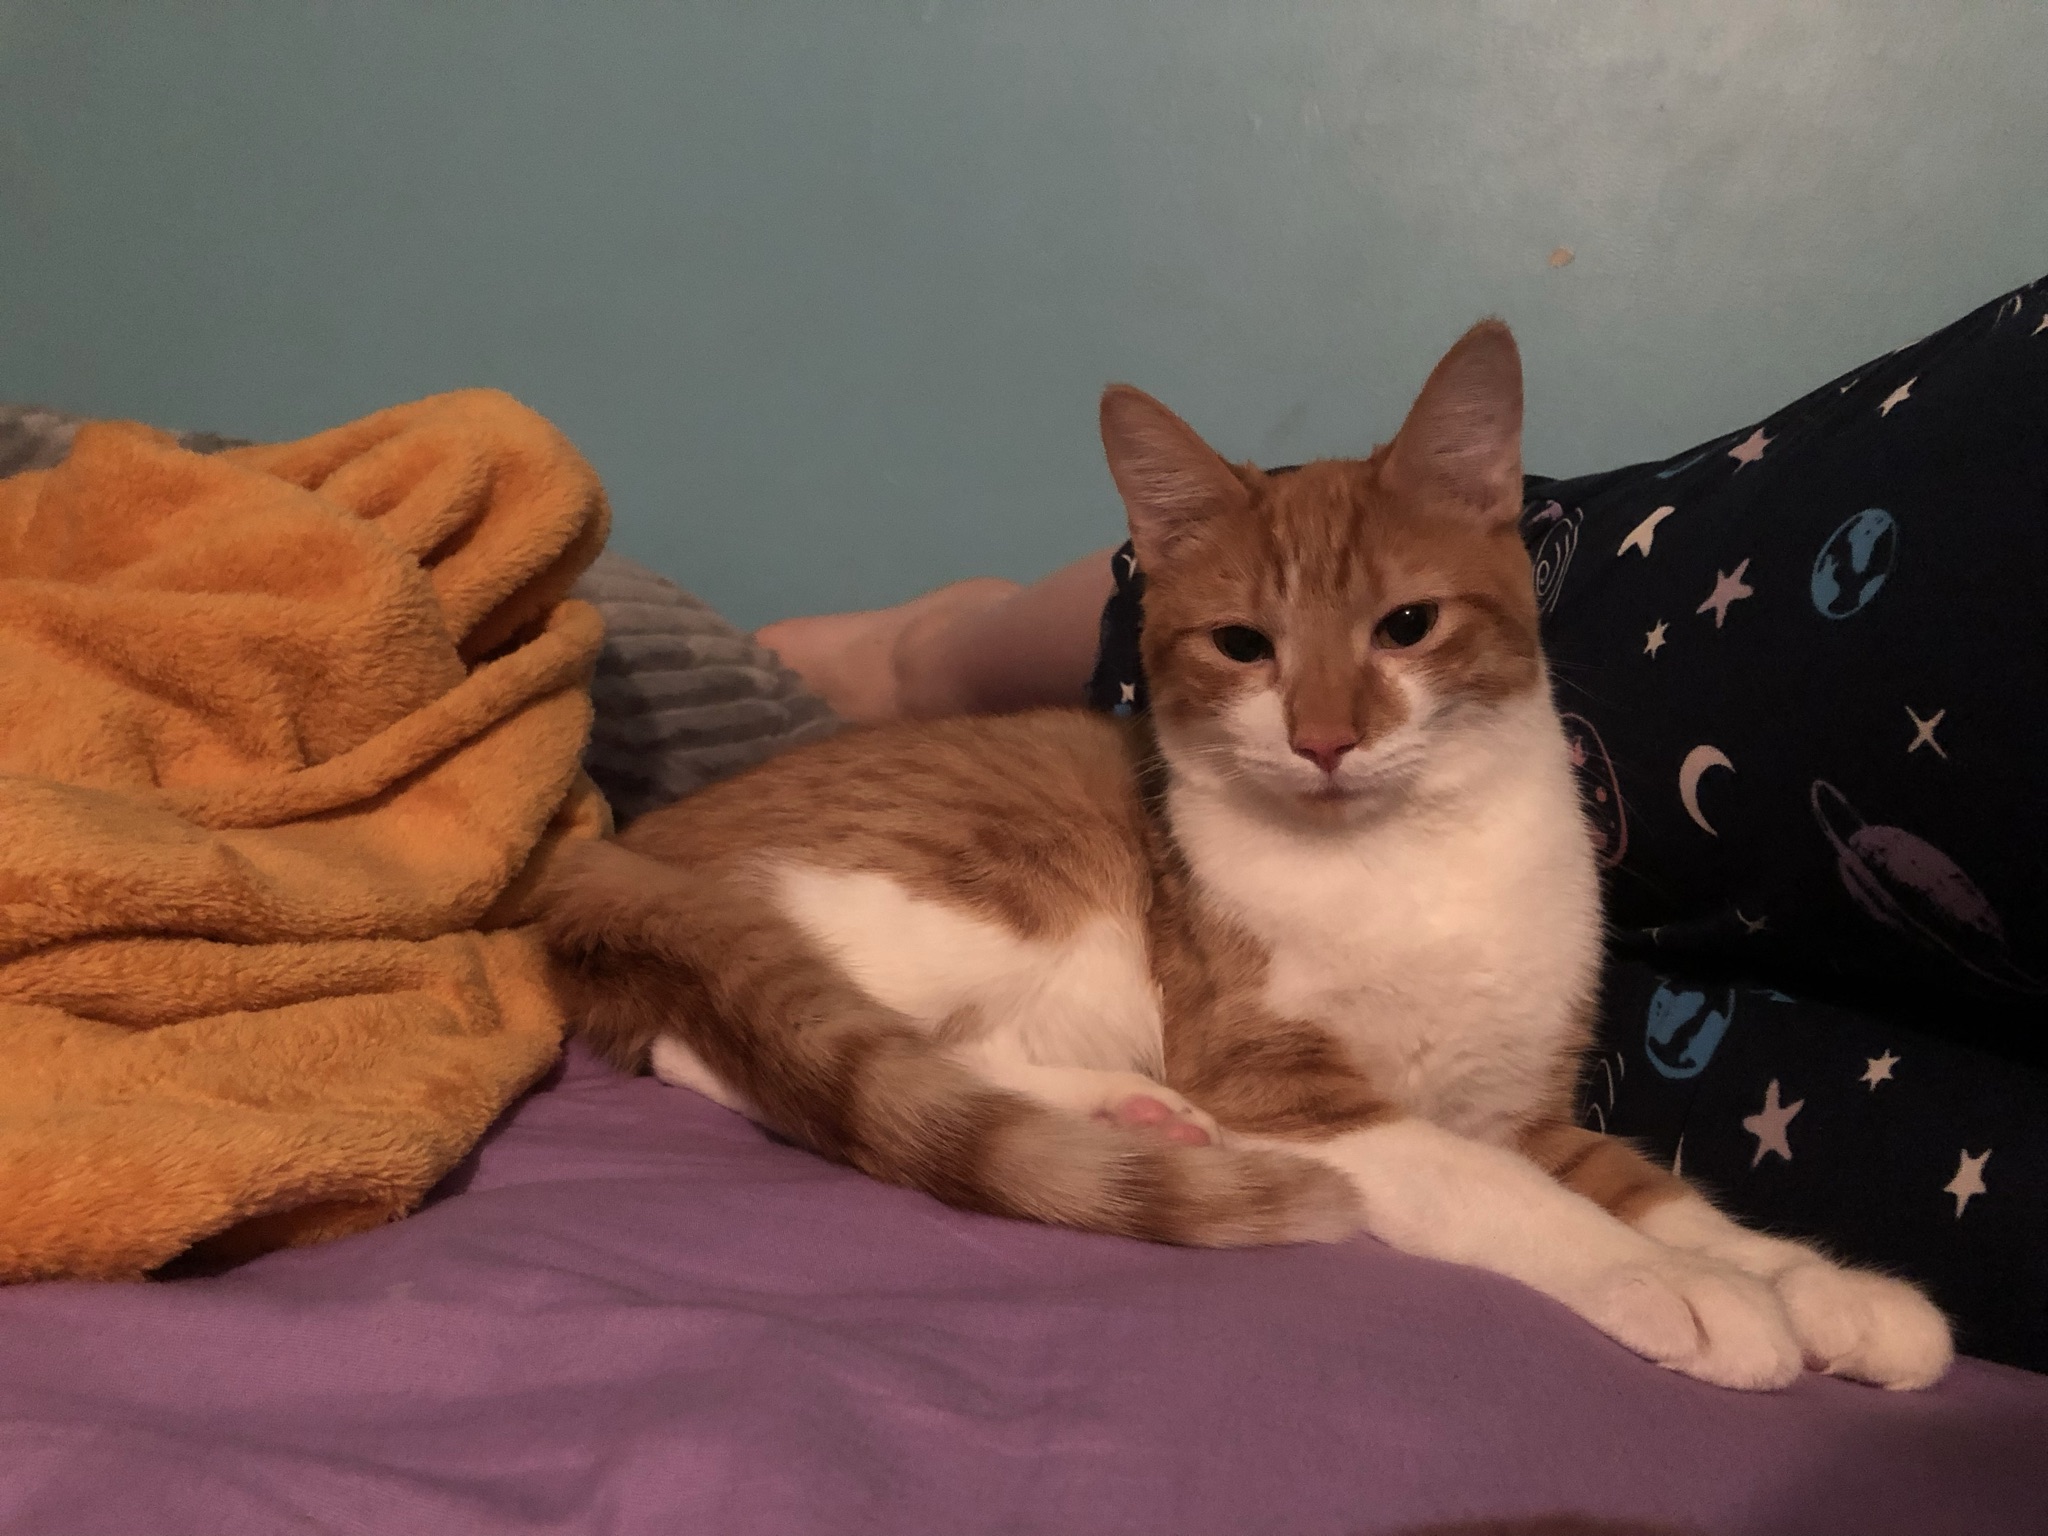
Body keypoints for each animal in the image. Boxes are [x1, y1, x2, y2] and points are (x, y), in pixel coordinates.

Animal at [544, 325, 1949, 1392]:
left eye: (1405, 625)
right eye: (1240, 645)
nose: (1322, 737)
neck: (1406, 857)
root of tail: (619, 847)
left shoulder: (1521, 1105)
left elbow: (1650, 1188)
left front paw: (1818, 1286)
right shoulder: (1295, 1093)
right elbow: (1513, 1195)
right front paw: (1676, 1287)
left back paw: (1132, 1115)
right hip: (976, 891)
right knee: (749, 1044)